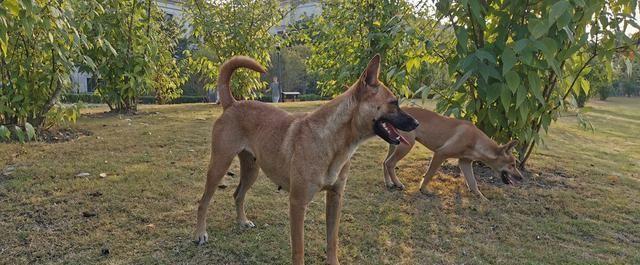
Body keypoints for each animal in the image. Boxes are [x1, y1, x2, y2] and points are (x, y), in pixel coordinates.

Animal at [192, 54, 418, 262]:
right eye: (394, 103)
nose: (416, 123)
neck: (332, 140)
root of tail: (232, 103)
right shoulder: (298, 203)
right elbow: (298, 249)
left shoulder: (335, 198)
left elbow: (332, 240)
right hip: (219, 165)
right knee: (203, 202)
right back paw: (200, 234)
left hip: (251, 170)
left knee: (238, 195)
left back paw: (242, 221)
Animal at [382, 106, 524, 199]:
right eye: (512, 165)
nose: (521, 178)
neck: (476, 141)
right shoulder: (440, 154)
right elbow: (429, 174)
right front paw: (424, 189)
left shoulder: (465, 163)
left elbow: (473, 183)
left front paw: (482, 198)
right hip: (406, 146)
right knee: (390, 163)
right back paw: (398, 183)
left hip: (395, 144)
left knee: (385, 163)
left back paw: (389, 183)